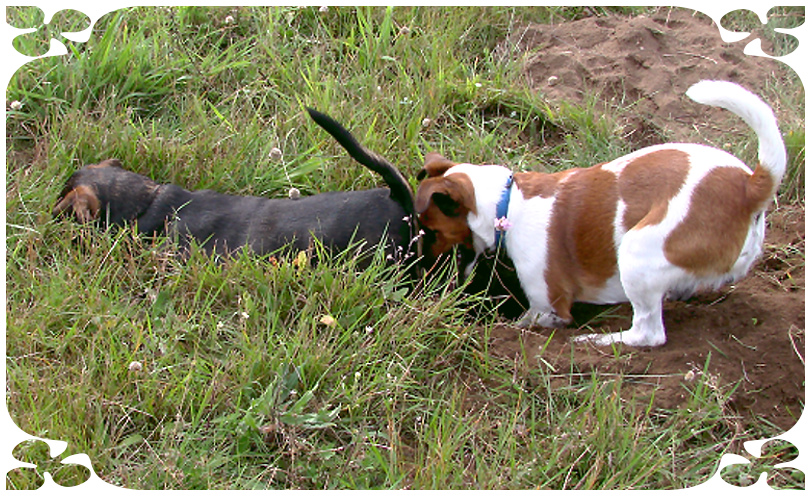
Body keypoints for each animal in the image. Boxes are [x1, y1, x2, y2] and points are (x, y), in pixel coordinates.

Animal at [416, 80, 784, 344]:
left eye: (430, 231)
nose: (424, 271)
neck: (507, 201)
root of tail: (750, 185)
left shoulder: (548, 308)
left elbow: (530, 321)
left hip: (637, 251)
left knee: (647, 334)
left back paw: (598, 340)